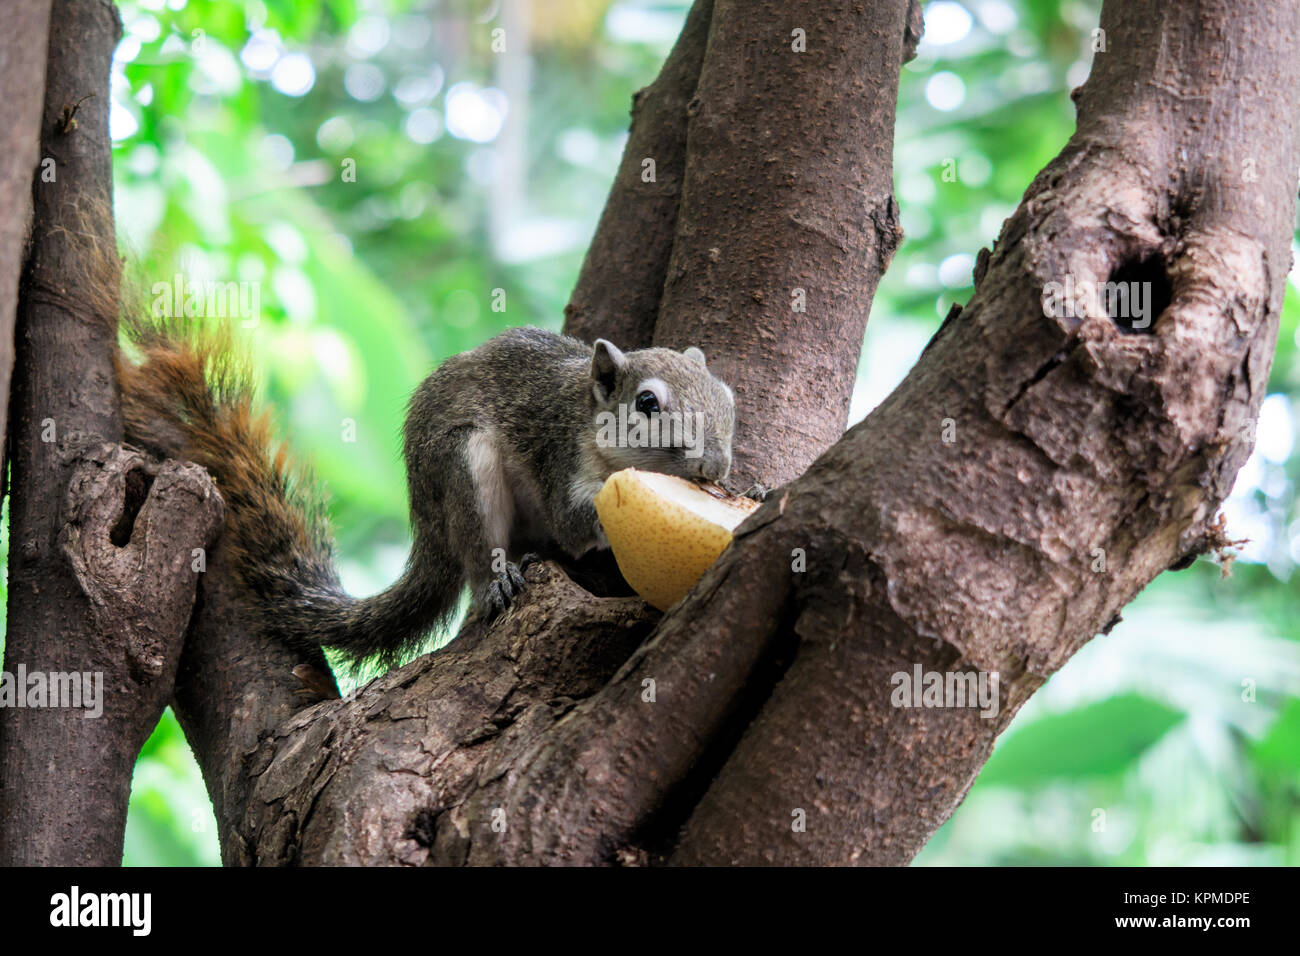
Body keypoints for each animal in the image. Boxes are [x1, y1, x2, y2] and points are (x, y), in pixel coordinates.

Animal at [117, 323, 738, 669]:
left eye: (727, 397)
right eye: (647, 405)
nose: (715, 465)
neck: (589, 418)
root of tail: (427, 523)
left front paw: (746, 488)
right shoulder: (558, 457)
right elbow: (576, 518)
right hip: (462, 465)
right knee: (483, 550)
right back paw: (497, 580)